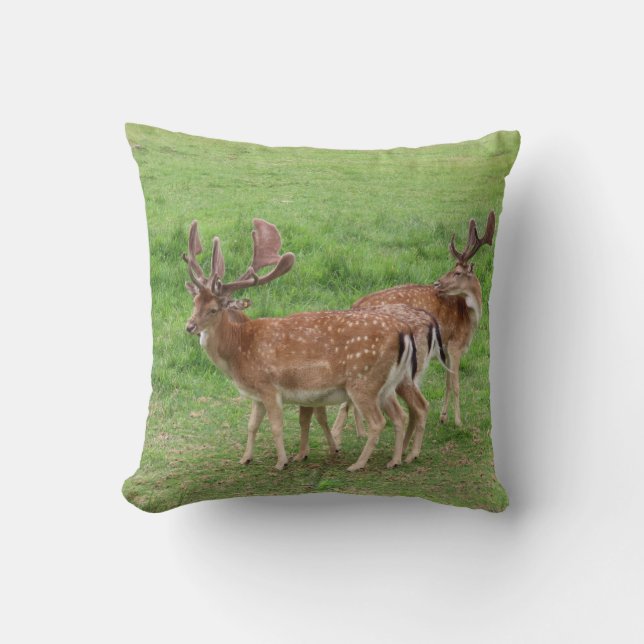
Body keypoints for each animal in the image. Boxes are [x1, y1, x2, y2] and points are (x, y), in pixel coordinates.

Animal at [183, 218, 428, 471]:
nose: (189, 326)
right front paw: (245, 458)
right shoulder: (257, 395)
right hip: (387, 384)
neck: (239, 351)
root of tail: (403, 330)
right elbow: (252, 425)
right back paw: (395, 459)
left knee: (380, 421)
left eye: (214, 309)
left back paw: (359, 464)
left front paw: (281, 462)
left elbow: (276, 426)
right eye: (194, 302)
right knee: (401, 415)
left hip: (364, 380)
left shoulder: (268, 385)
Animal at [330, 211, 495, 443]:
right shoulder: (455, 344)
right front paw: (458, 421)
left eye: (457, 272)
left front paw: (443, 417)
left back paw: (360, 432)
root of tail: (355, 304)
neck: (469, 315)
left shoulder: (446, 350)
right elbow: (455, 383)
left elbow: (447, 381)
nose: (437, 283)